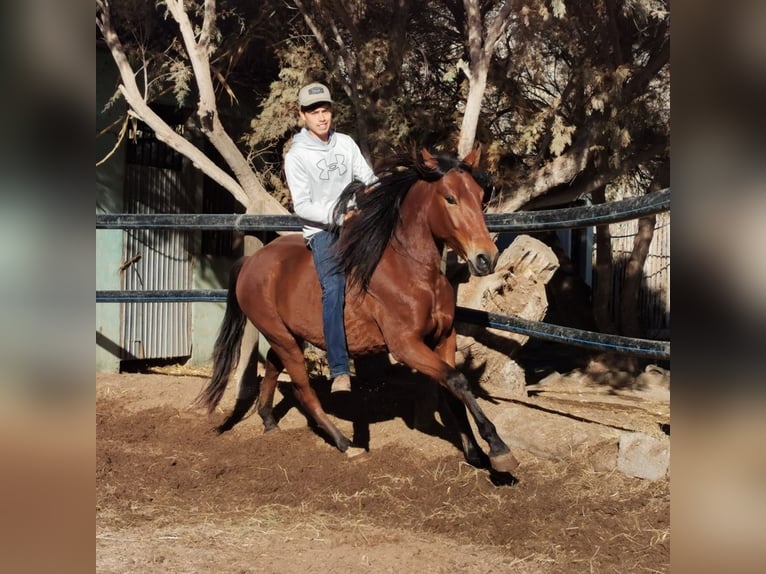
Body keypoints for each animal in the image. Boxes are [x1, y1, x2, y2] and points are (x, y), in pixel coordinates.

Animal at [196, 146, 520, 474]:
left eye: (479, 196)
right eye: (450, 198)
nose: (486, 258)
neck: (414, 273)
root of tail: (251, 262)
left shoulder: (443, 338)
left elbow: (453, 389)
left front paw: (476, 453)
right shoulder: (405, 345)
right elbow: (457, 381)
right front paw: (499, 448)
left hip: (288, 335)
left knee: (274, 364)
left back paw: (269, 421)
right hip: (280, 335)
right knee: (302, 388)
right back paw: (346, 444)